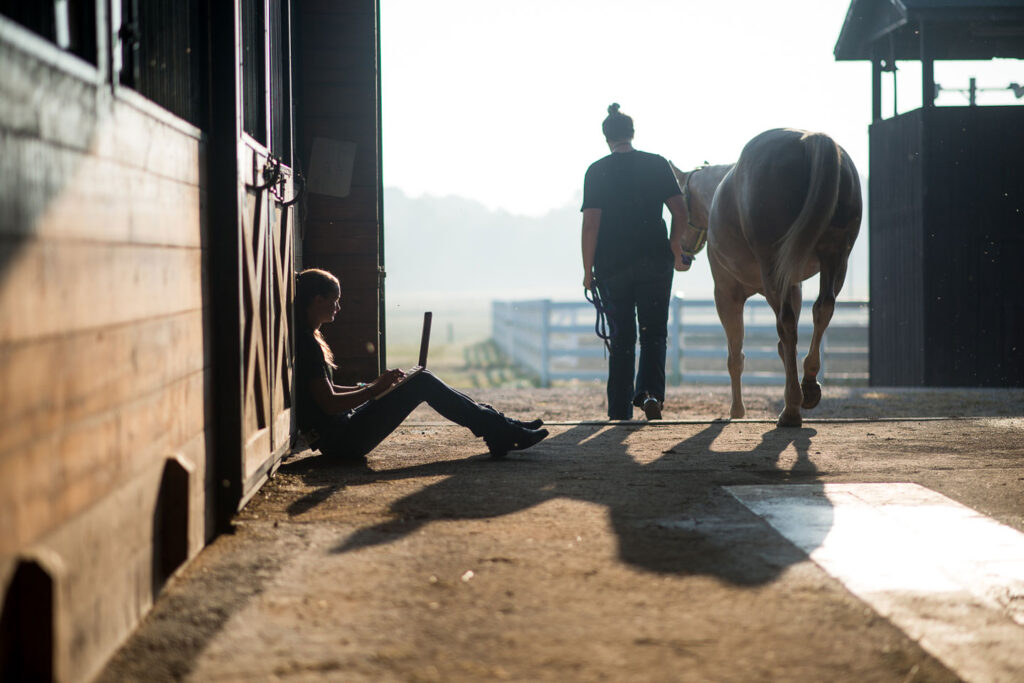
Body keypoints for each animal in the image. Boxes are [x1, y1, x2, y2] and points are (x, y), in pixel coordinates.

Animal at [671, 127, 864, 423]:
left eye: (680, 202)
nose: (681, 251)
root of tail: (810, 139)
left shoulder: (726, 295)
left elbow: (736, 355)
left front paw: (737, 410)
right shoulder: (793, 287)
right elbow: (784, 347)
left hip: (776, 271)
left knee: (787, 324)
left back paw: (791, 409)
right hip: (836, 259)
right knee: (823, 309)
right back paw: (808, 386)